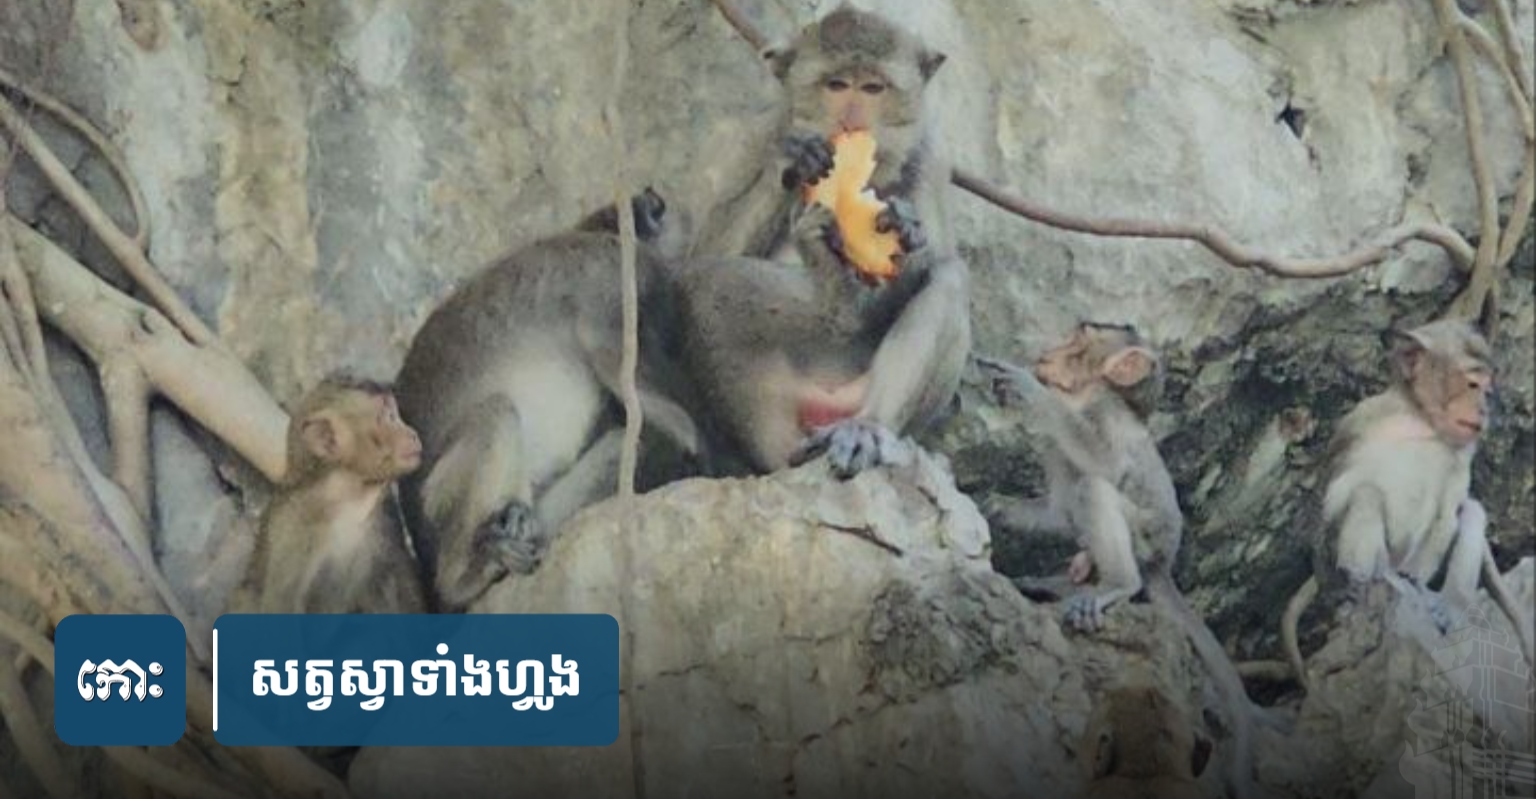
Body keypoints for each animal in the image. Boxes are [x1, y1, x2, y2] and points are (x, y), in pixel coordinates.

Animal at [227, 374, 427, 615]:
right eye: (385, 417)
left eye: (394, 413)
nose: (413, 434)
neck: (346, 501)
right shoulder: (296, 537)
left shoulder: (387, 513)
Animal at [393, 188, 705, 612]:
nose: (663, 205)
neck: (595, 231)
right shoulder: (610, 276)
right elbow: (615, 364)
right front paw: (696, 443)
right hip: (438, 501)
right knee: (497, 414)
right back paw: (462, 580)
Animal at [676, 5, 970, 478]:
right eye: (836, 85)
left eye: (872, 87)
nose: (852, 117)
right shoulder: (752, 136)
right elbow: (702, 255)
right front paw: (793, 162)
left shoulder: (930, 158)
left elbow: (935, 258)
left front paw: (906, 231)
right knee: (702, 284)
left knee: (949, 277)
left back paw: (865, 421)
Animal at [1277, 318, 1533, 688]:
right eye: (1472, 382)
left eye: (1486, 387)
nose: (1484, 407)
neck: (1421, 422)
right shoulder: (1356, 421)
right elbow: (1326, 502)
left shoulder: (1463, 453)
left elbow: (1447, 513)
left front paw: (1419, 587)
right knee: (1366, 495)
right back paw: (1363, 582)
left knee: (1471, 512)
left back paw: (1447, 603)